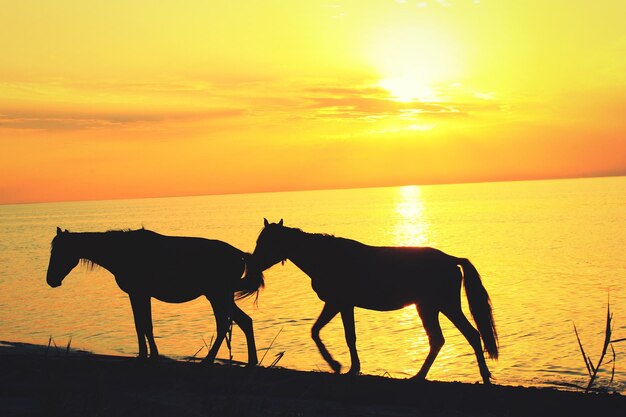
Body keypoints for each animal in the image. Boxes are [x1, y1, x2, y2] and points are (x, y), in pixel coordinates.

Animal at [45, 228, 264, 364]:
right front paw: (147, 354)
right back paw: (251, 361)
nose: (50, 280)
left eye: (60, 252)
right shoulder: (139, 295)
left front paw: (148, 355)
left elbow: (144, 325)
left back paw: (209, 360)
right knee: (244, 321)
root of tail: (238, 253)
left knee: (224, 325)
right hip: (221, 296)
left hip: (217, 295)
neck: (122, 251)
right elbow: (142, 325)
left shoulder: (138, 293)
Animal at [249, 219, 498, 382]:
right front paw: (342, 365)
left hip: (443, 305)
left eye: (267, 242)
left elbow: (345, 336)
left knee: (464, 336)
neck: (326, 256)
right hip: (431, 307)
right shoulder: (338, 304)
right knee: (448, 338)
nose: (252, 263)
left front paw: (342, 366)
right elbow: (320, 331)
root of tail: (450, 259)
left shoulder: (340, 303)